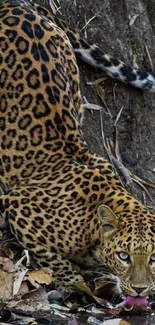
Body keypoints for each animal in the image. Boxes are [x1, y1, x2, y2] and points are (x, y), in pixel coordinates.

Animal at [0, 0, 155, 308]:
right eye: (124, 256)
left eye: (154, 258)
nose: (141, 289)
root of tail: (15, 5)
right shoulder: (18, 204)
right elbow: (50, 255)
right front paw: (73, 281)